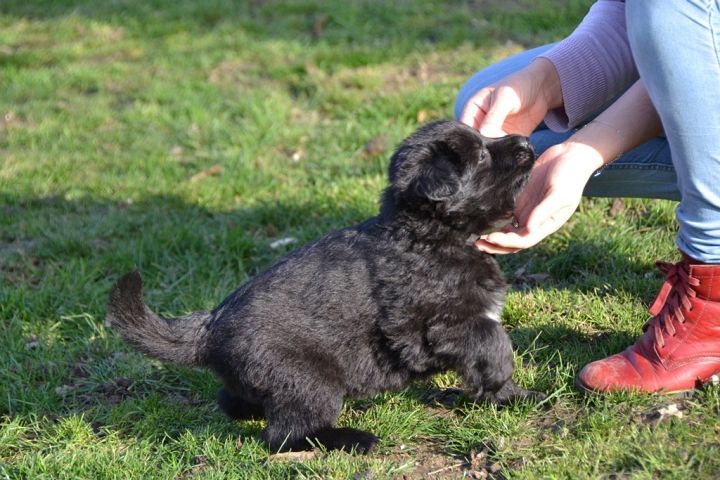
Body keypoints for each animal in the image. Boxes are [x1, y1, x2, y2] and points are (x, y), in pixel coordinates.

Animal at [106, 120, 542, 454]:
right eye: (481, 157)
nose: (526, 141)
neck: (427, 234)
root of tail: (209, 326)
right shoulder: (435, 325)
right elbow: (492, 343)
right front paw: (506, 385)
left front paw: (508, 397)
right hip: (309, 381)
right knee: (285, 434)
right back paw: (352, 439)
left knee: (235, 401)